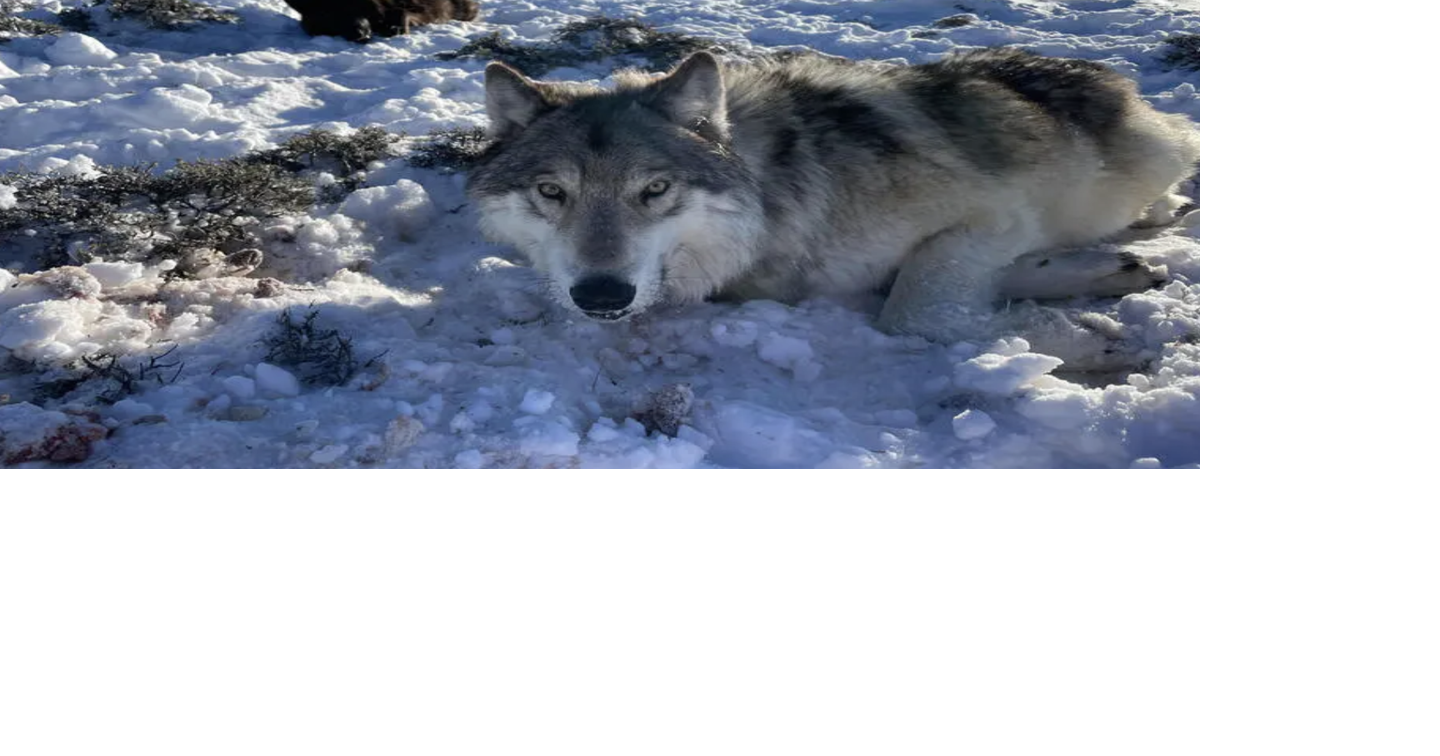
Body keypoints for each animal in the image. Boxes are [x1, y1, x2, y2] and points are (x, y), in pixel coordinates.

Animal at [468, 49, 1199, 345]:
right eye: (551, 192)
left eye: (654, 189)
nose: (600, 296)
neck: (778, 198)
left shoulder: (994, 212)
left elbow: (913, 308)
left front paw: (1070, 344)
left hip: (1152, 159)